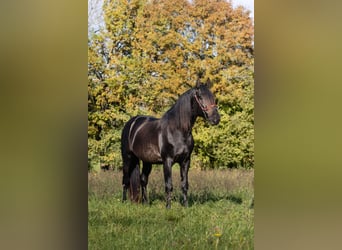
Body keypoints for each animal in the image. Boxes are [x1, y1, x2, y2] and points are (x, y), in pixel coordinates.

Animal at [121, 79, 220, 208]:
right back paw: (123, 202)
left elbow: (184, 185)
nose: (216, 119)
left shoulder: (185, 161)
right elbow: (169, 185)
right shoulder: (167, 161)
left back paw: (146, 203)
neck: (177, 130)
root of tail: (131, 123)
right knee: (126, 180)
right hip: (127, 158)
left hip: (147, 161)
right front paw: (168, 207)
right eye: (200, 97)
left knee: (143, 180)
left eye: (213, 97)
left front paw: (186, 206)